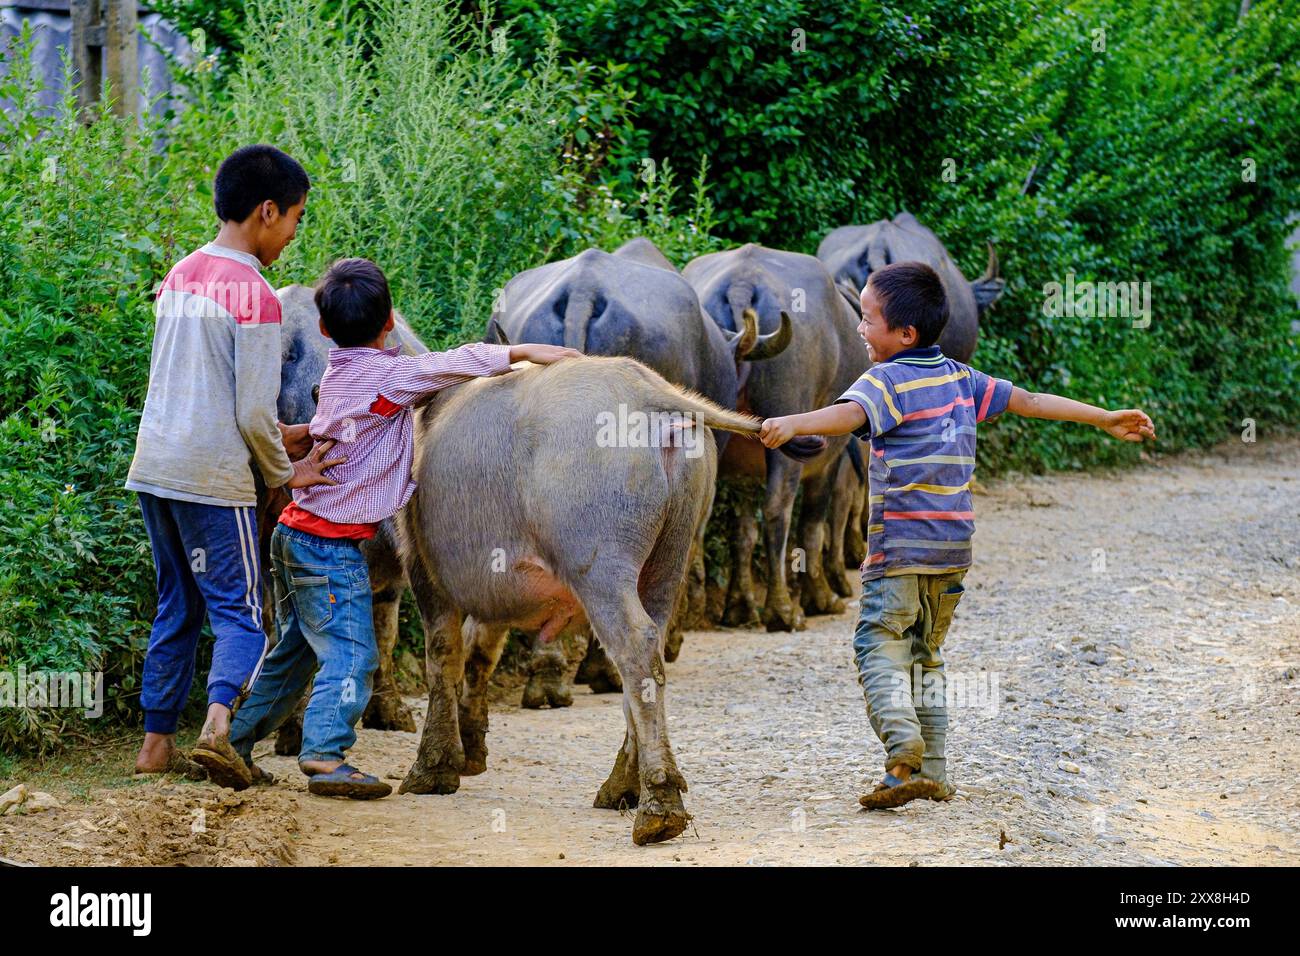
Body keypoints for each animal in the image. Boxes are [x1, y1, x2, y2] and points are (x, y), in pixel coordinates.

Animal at [395, 353, 795, 842]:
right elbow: (479, 653)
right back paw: (622, 783)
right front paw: (471, 748)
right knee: (649, 654)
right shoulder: (494, 589)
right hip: (668, 562)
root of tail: (647, 393)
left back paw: (658, 803)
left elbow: (443, 656)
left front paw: (434, 765)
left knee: (635, 647)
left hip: (601, 570)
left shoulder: (423, 569)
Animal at [681, 243, 863, 632]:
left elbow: (743, 532)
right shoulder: (829, 458)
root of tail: (742, 282)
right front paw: (820, 597)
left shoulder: (743, 472)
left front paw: (740, 604)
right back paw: (782, 610)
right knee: (780, 509)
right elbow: (813, 524)